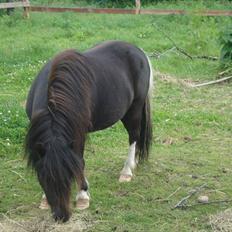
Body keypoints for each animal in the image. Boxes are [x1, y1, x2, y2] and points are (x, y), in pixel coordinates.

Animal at [24, 40, 152, 222]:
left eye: (69, 176)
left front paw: (83, 197)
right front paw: (44, 199)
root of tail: (137, 50)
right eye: (43, 179)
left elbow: (79, 161)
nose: (61, 216)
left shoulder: (79, 133)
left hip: (134, 109)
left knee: (133, 136)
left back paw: (126, 171)